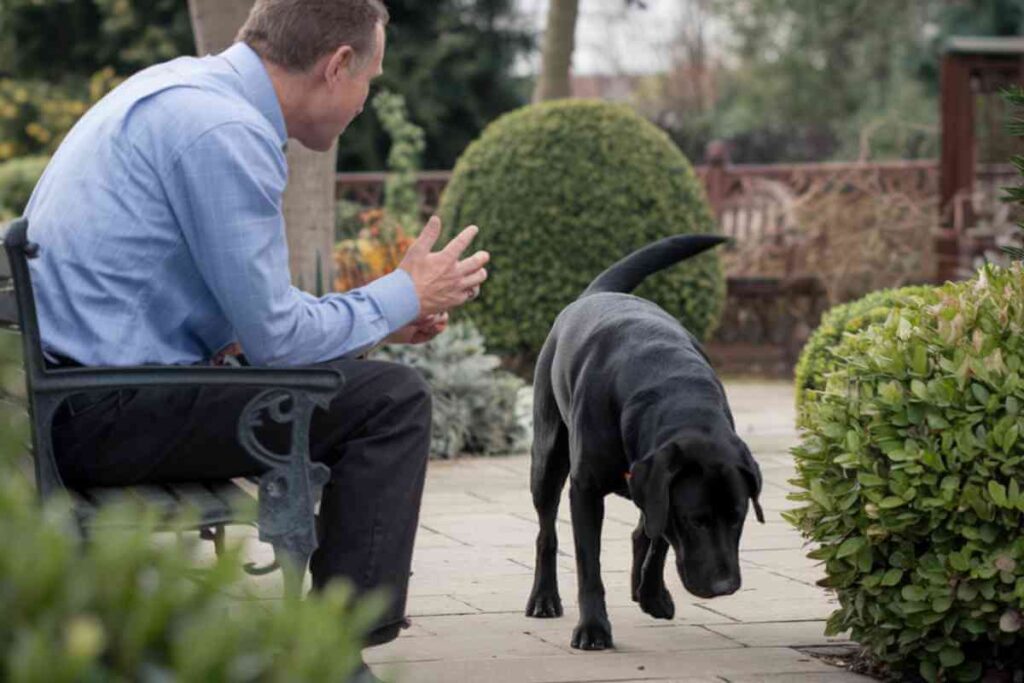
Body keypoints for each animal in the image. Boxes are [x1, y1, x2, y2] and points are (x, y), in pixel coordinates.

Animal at [528, 235, 761, 651]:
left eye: (738, 517)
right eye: (696, 520)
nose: (725, 587)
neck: (675, 390)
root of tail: (598, 292)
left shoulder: (660, 484)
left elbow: (658, 538)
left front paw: (652, 594)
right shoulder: (585, 490)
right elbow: (589, 565)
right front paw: (593, 629)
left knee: (644, 529)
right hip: (547, 456)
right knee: (546, 532)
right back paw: (544, 598)